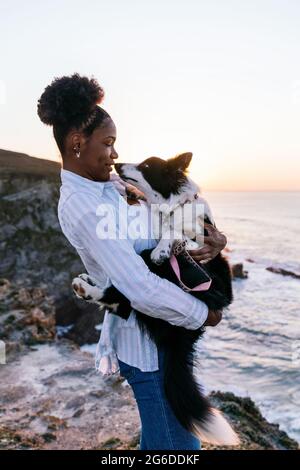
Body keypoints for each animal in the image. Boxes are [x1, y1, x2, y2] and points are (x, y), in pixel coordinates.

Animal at [73, 153, 239, 444]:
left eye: (147, 166)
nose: (117, 165)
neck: (171, 206)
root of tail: (185, 337)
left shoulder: (200, 239)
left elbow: (176, 235)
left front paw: (164, 247)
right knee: (122, 301)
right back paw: (87, 284)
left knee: (122, 299)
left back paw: (87, 286)